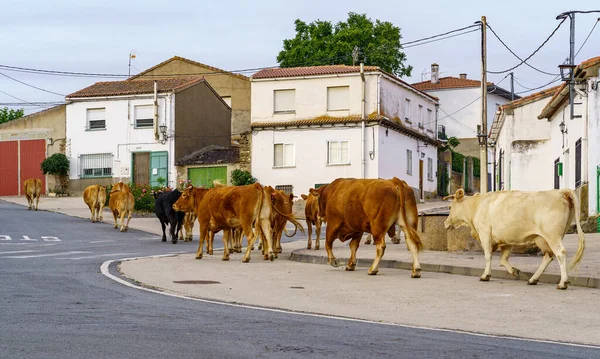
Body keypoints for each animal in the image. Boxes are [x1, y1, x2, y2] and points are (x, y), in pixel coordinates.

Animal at [442, 188, 584, 290]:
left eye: (449, 207)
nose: (445, 223)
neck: (476, 206)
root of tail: (561, 191)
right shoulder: (506, 239)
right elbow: (503, 259)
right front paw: (515, 271)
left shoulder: (485, 234)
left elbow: (488, 256)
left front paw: (485, 275)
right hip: (542, 238)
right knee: (548, 256)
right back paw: (533, 279)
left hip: (552, 236)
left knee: (560, 253)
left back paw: (562, 283)